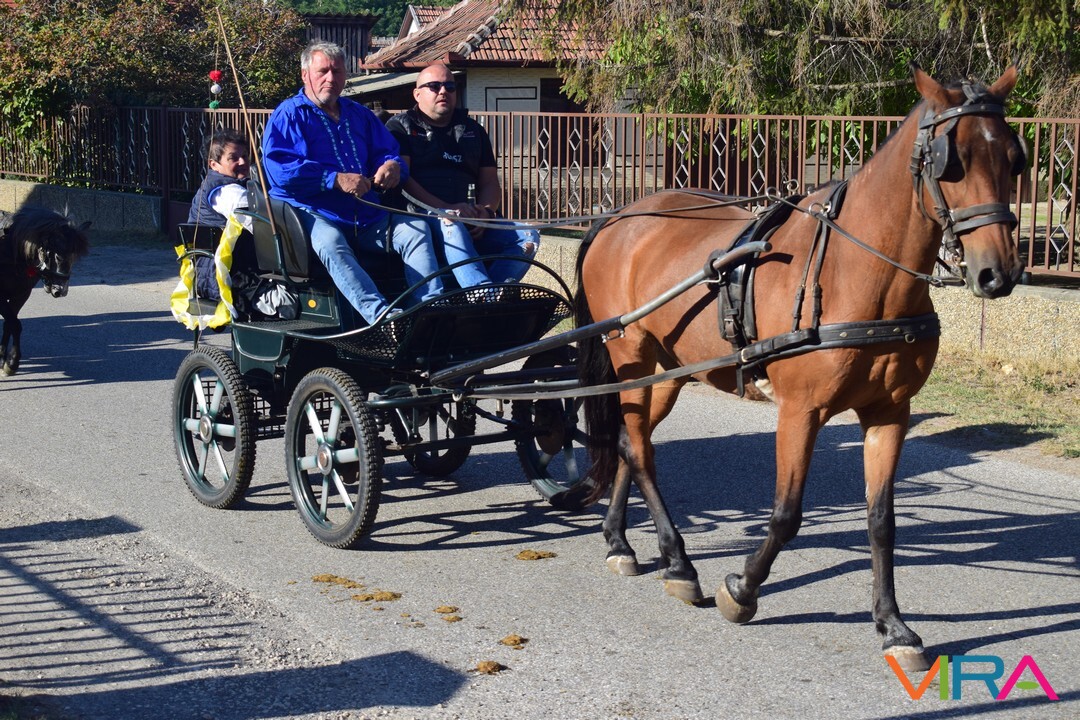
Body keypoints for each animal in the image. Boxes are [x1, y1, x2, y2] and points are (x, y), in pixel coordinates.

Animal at [0, 206, 91, 376]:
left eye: (74, 258)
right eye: (58, 257)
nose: (61, 290)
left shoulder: (21, 295)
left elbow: (10, 324)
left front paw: (6, 361)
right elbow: (15, 324)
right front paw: (11, 361)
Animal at [574, 65, 1024, 671]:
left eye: (1014, 159)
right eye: (951, 162)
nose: (998, 273)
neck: (856, 271)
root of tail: (617, 216)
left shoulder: (890, 413)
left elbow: (881, 521)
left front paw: (893, 626)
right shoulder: (800, 412)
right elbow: (787, 513)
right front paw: (742, 590)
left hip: (667, 372)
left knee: (630, 439)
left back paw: (622, 541)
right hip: (631, 356)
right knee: (640, 449)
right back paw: (679, 561)